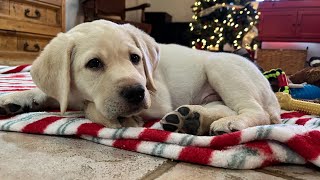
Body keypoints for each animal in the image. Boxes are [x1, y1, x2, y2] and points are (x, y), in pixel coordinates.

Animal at [0, 19, 280, 135]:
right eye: (94, 64)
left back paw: (231, 122)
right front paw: (18, 98)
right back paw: (190, 119)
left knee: (255, 112)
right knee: (222, 107)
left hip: (221, 68)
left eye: (135, 58)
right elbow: (53, 93)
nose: (136, 92)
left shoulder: (156, 98)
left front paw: (120, 119)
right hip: (214, 94)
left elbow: (90, 106)